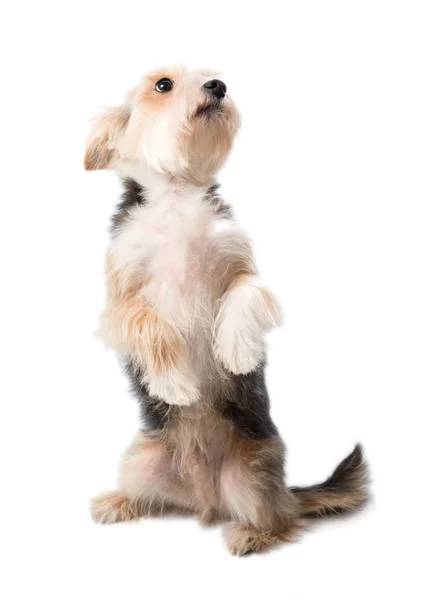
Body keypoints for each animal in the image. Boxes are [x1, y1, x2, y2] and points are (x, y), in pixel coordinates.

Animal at [85, 68, 370, 556]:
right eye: (163, 85)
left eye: (209, 75)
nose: (217, 85)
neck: (177, 195)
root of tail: (205, 499)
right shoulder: (121, 299)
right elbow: (149, 323)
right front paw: (176, 384)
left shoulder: (241, 266)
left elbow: (243, 295)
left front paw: (236, 353)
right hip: (142, 459)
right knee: (148, 494)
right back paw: (118, 502)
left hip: (250, 477)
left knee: (281, 520)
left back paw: (253, 532)